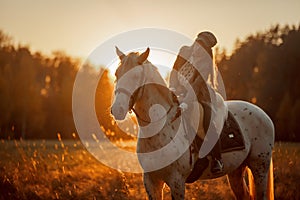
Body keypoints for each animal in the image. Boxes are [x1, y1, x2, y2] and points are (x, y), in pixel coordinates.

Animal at [110, 47, 274, 199]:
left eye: (135, 75)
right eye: (117, 73)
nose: (117, 109)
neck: (162, 127)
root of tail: (262, 113)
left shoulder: (176, 181)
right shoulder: (151, 181)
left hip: (260, 168)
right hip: (236, 171)